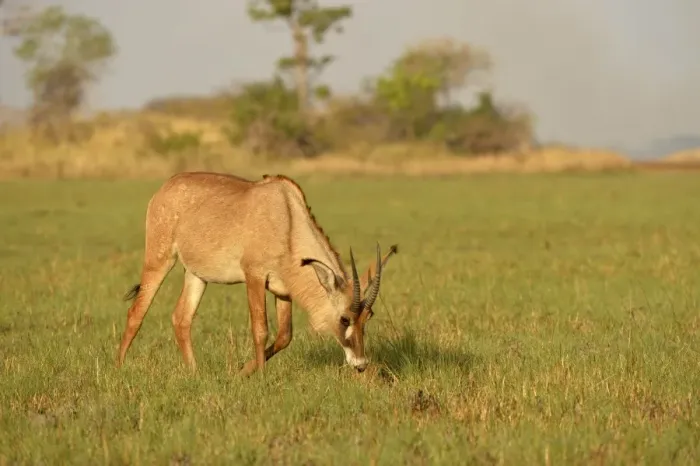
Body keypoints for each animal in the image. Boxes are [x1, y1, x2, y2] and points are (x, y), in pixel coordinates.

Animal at [116, 171, 398, 375]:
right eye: (344, 318)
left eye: (368, 316)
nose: (361, 364)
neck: (287, 219)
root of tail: (165, 188)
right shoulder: (254, 277)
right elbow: (261, 329)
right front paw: (260, 377)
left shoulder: (283, 291)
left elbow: (284, 336)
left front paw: (243, 372)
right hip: (159, 259)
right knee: (136, 312)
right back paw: (119, 368)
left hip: (196, 275)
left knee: (181, 318)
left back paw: (194, 373)